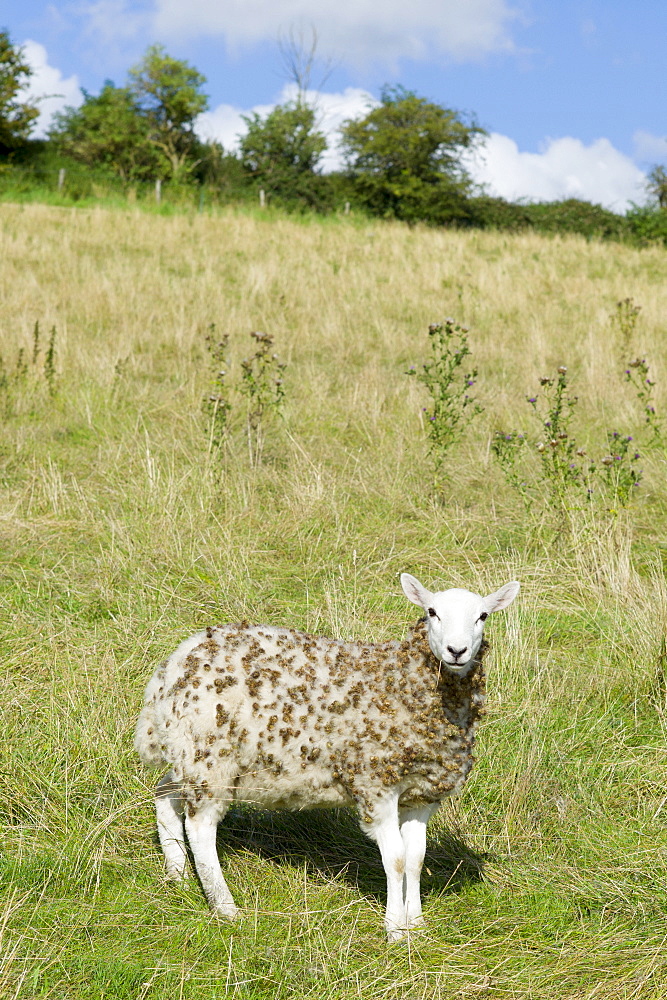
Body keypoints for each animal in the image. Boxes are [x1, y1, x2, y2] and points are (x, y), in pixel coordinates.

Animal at [137, 576, 520, 940]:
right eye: (432, 612)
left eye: (483, 616)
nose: (457, 651)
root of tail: (171, 667)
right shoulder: (376, 786)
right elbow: (395, 860)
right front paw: (396, 930)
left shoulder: (422, 794)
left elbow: (415, 859)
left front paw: (417, 924)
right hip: (209, 756)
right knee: (200, 827)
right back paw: (225, 907)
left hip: (189, 753)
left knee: (164, 793)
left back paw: (178, 875)